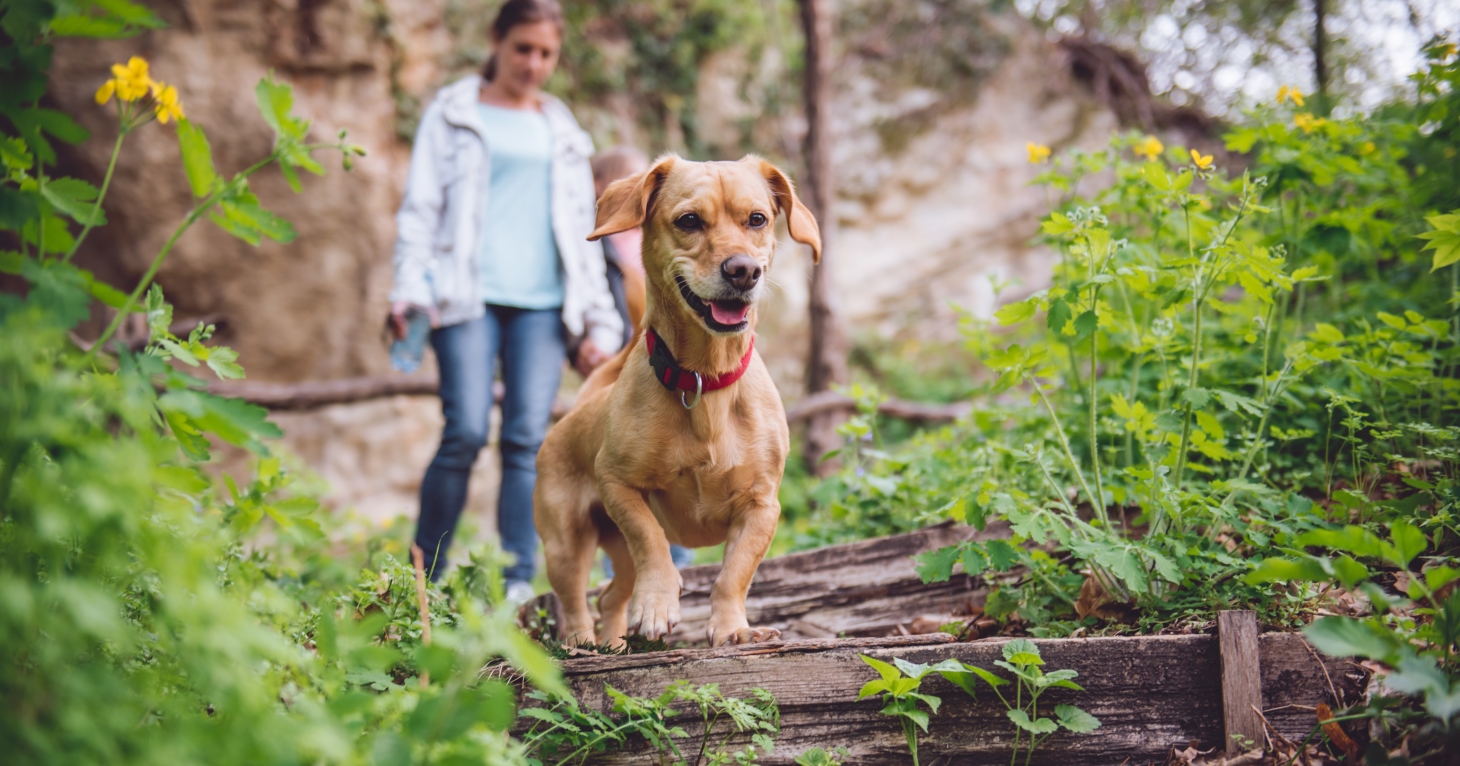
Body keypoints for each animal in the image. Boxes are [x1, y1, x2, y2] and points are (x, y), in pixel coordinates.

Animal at [531, 153, 823, 644]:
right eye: (689, 221)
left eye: (757, 219)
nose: (743, 270)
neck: (706, 379)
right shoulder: (618, 484)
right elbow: (651, 540)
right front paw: (656, 605)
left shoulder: (762, 506)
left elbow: (734, 573)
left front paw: (732, 628)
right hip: (566, 545)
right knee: (576, 603)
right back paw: (584, 645)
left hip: (615, 552)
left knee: (609, 598)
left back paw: (615, 645)